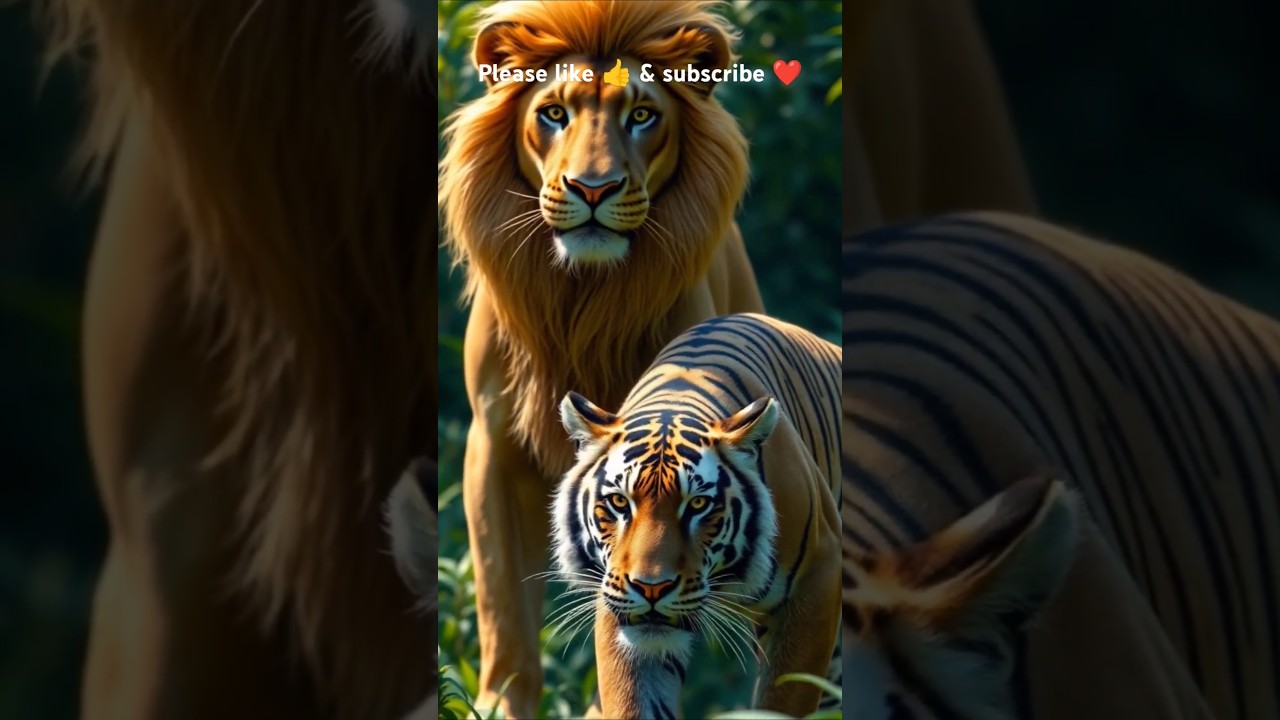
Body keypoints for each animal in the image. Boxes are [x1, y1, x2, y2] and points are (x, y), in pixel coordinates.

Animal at [438, 1, 765, 715]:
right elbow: (502, 603)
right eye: (554, 113)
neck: (581, 301)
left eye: (641, 114)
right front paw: (501, 702)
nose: (593, 189)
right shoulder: (493, 443)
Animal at [553, 313, 843, 719]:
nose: (651, 588)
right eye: (620, 502)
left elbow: (783, 699)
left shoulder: (819, 575)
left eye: (697, 505)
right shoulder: (616, 601)